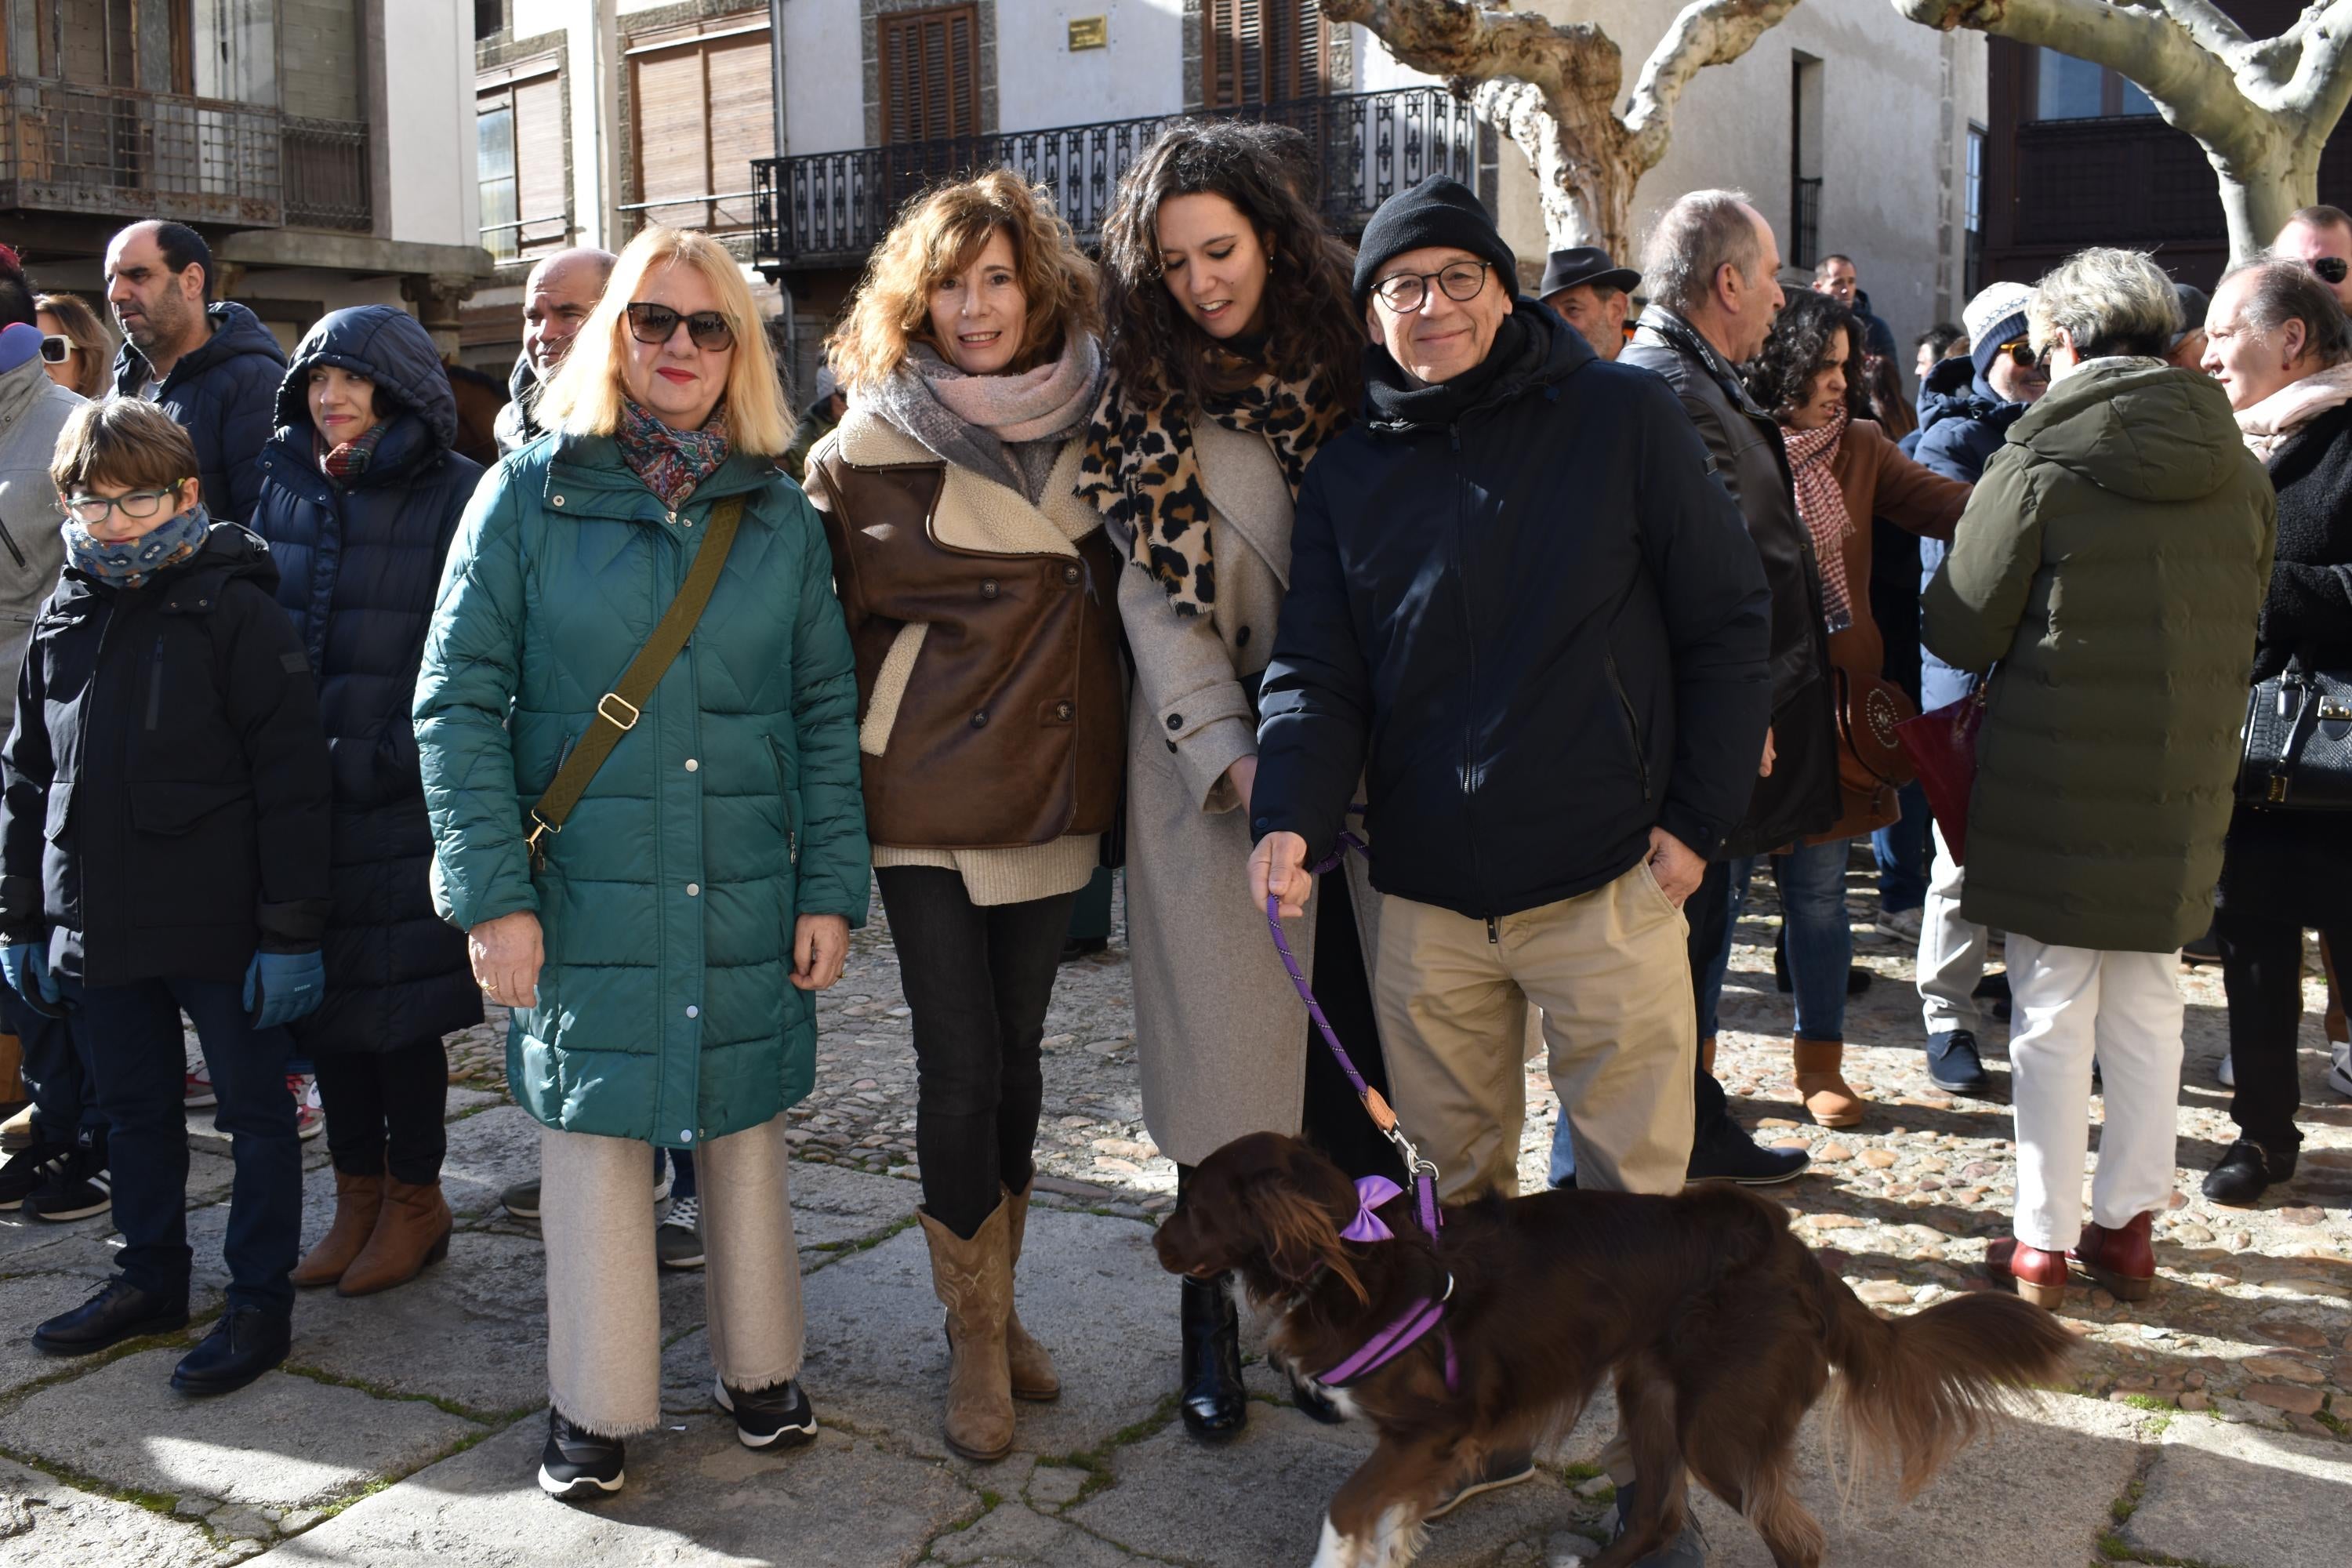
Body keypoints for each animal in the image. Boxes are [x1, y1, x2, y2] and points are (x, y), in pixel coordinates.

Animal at [1162, 1133, 2079, 1568]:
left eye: (1196, 1208)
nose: (1159, 1245)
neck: (1349, 1256)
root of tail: (1801, 1258)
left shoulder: (1431, 1427)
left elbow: (1349, 1509)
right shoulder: (1421, 1445)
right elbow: (1388, 1519)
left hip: (1719, 1423)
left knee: (1794, 1538)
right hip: (1652, 1391)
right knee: (1659, 1512)